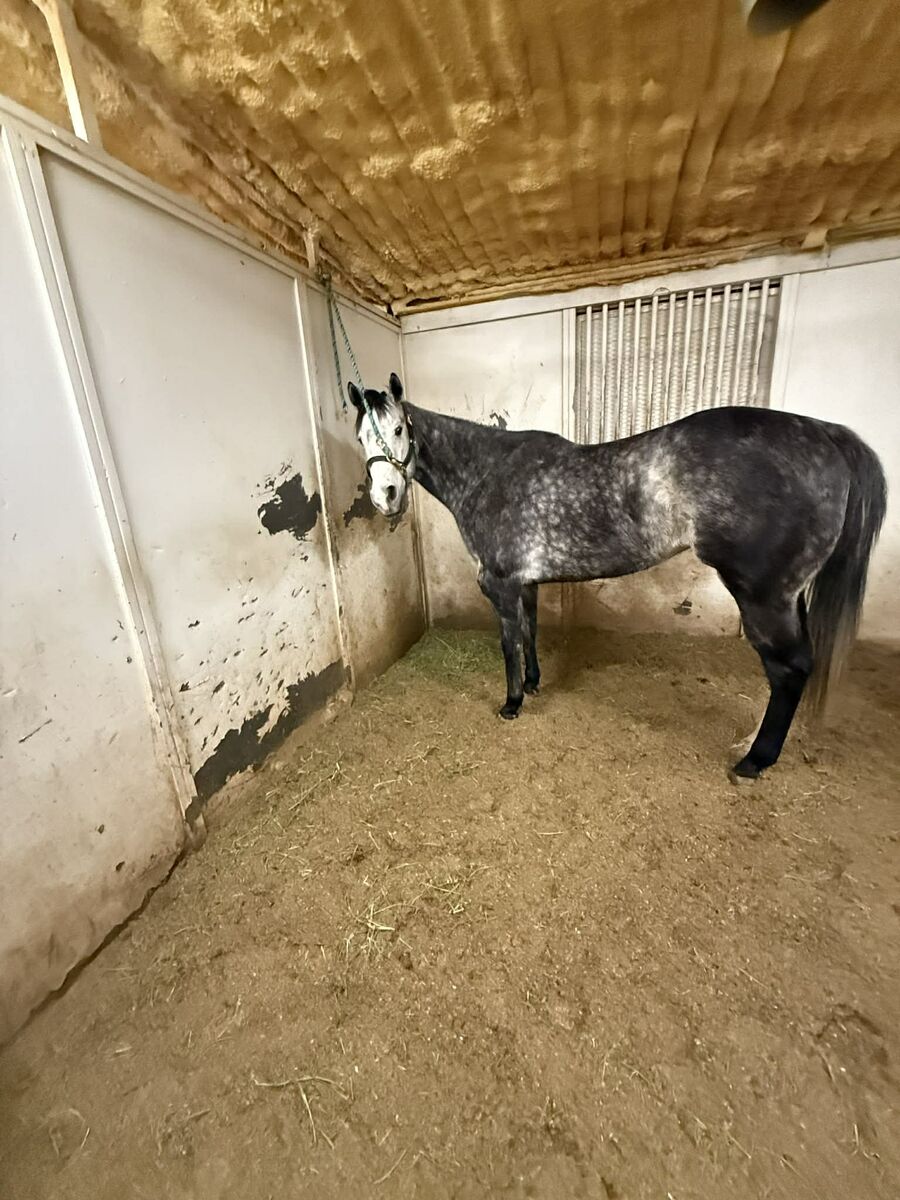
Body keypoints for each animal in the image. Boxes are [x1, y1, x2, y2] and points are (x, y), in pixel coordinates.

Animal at [348, 373, 886, 779]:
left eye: (400, 429)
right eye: (360, 437)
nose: (386, 496)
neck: (488, 473)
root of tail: (824, 433)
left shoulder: (499, 582)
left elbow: (508, 643)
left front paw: (513, 702)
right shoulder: (526, 582)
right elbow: (530, 631)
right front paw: (536, 683)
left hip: (763, 596)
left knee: (788, 669)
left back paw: (754, 760)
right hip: (790, 596)